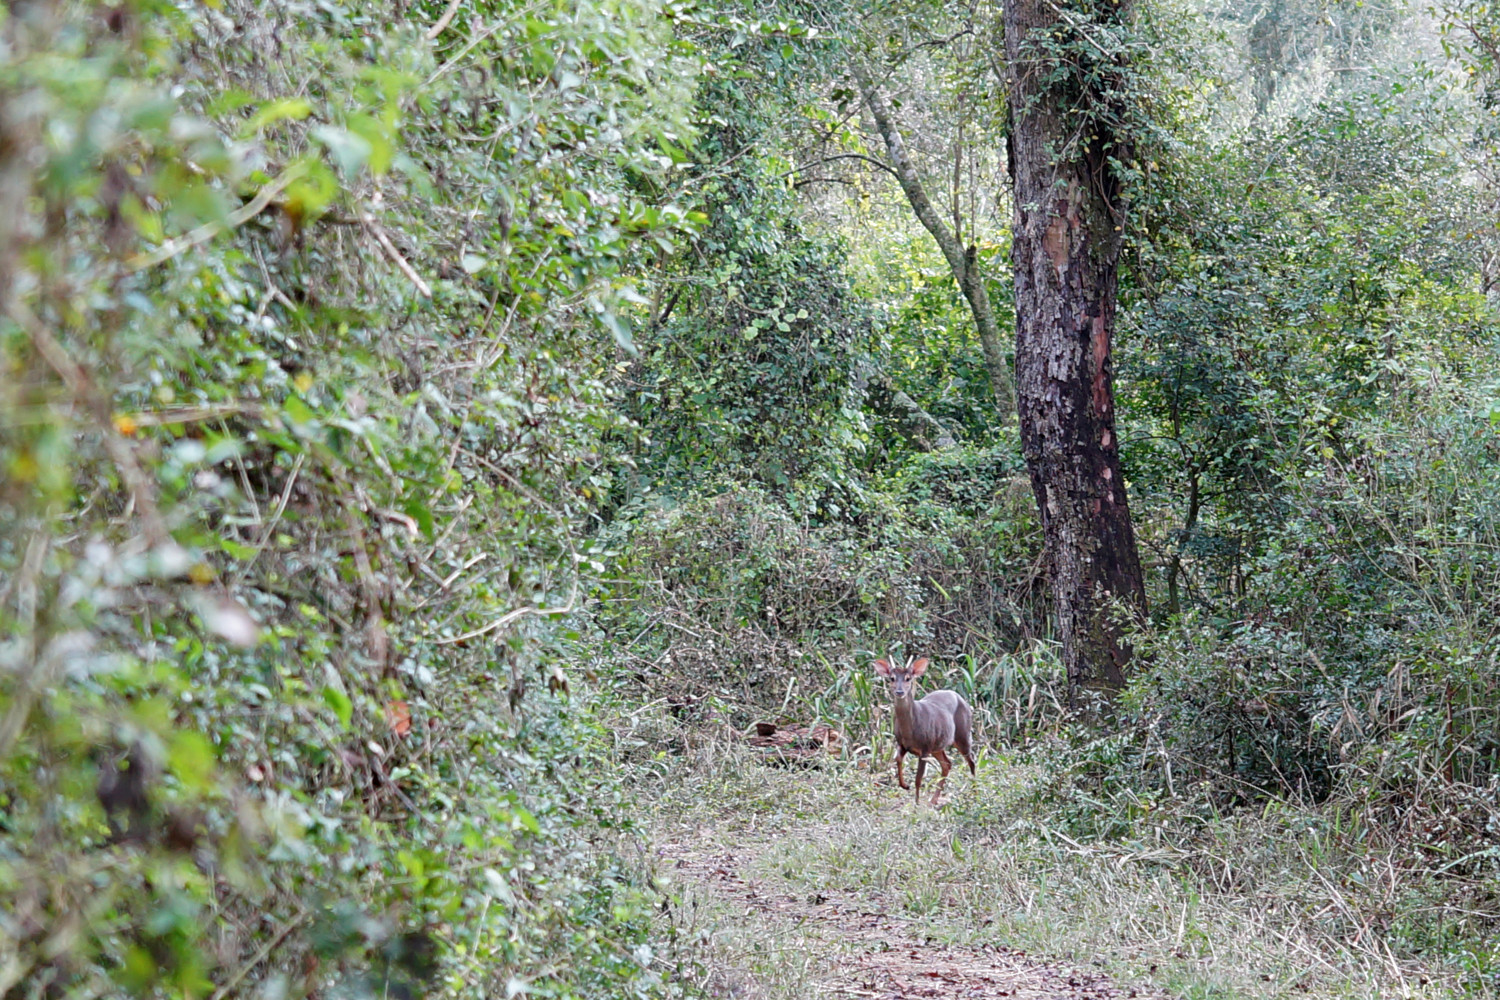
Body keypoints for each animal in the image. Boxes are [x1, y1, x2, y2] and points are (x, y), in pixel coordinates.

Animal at [876, 656, 978, 803]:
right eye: (892, 678)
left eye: (908, 678)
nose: (899, 692)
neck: (910, 731)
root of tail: (961, 699)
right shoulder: (902, 743)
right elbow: (898, 759)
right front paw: (905, 785)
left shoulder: (925, 747)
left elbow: (918, 779)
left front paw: (917, 803)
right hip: (937, 745)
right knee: (947, 763)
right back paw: (933, 801)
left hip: (962, 733)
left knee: (971, 760)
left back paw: (975, 791)